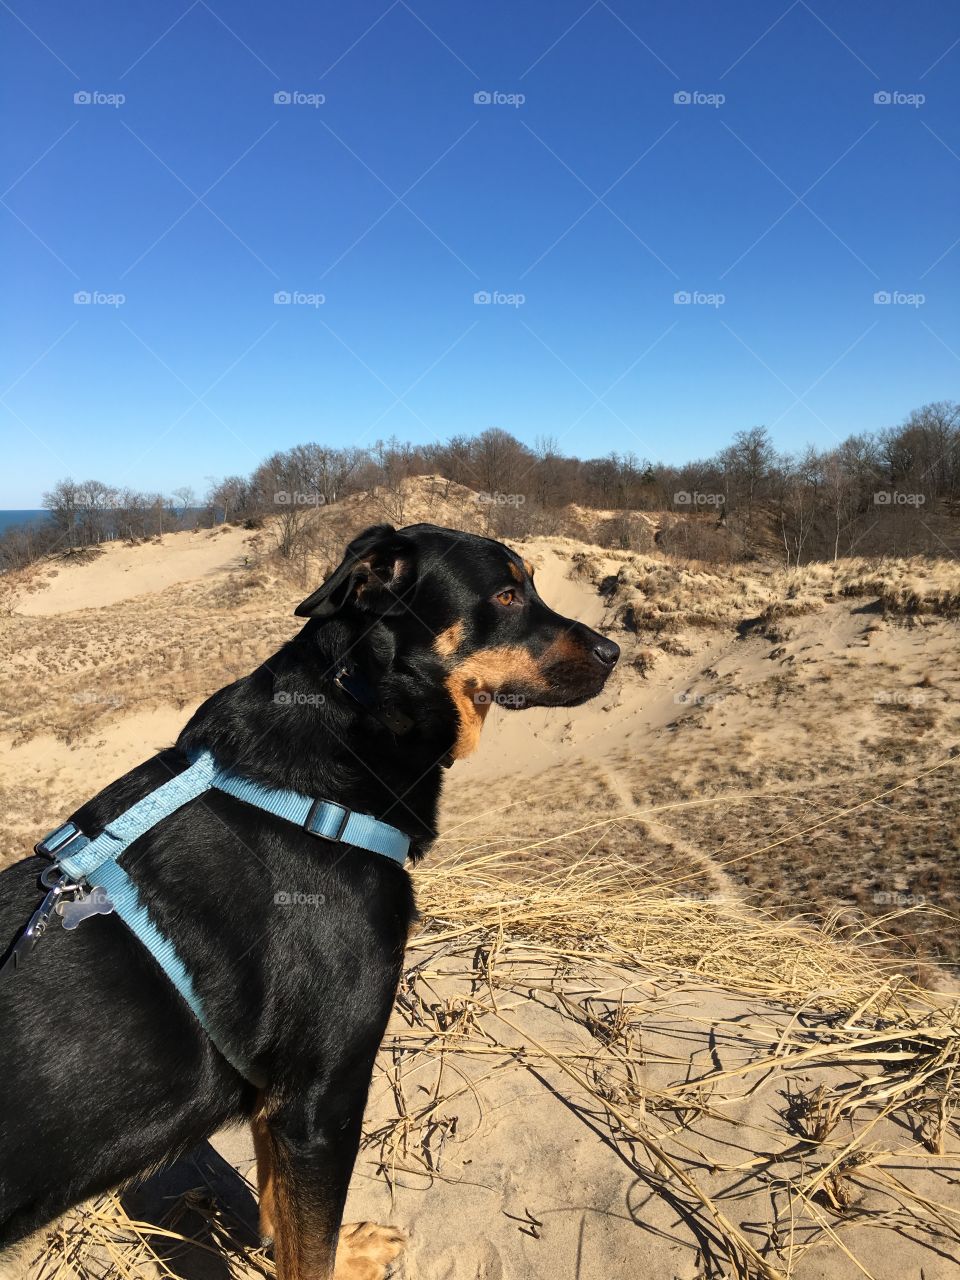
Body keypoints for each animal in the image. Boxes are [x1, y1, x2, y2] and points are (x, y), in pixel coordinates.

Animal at [0, 522, 619, 1280]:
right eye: (505, 595)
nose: (615, 653)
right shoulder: (324, 1095)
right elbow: (308, 1239)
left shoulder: (285, 1102)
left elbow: (282, 1206)